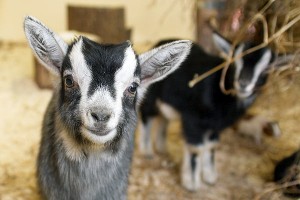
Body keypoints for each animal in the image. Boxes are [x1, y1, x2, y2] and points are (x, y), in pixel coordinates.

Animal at [138, 33, 286, 191]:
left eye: (266, 69)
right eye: (233, 62)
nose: (243, 84)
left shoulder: (214, 125)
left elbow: (211, 146)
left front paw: (209, 177)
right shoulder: (193, 119)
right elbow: (196, 149)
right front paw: (192, 183)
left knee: (163, 119)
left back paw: (162, 149)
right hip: (151, 99)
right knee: (147, 118)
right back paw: (147, 151)